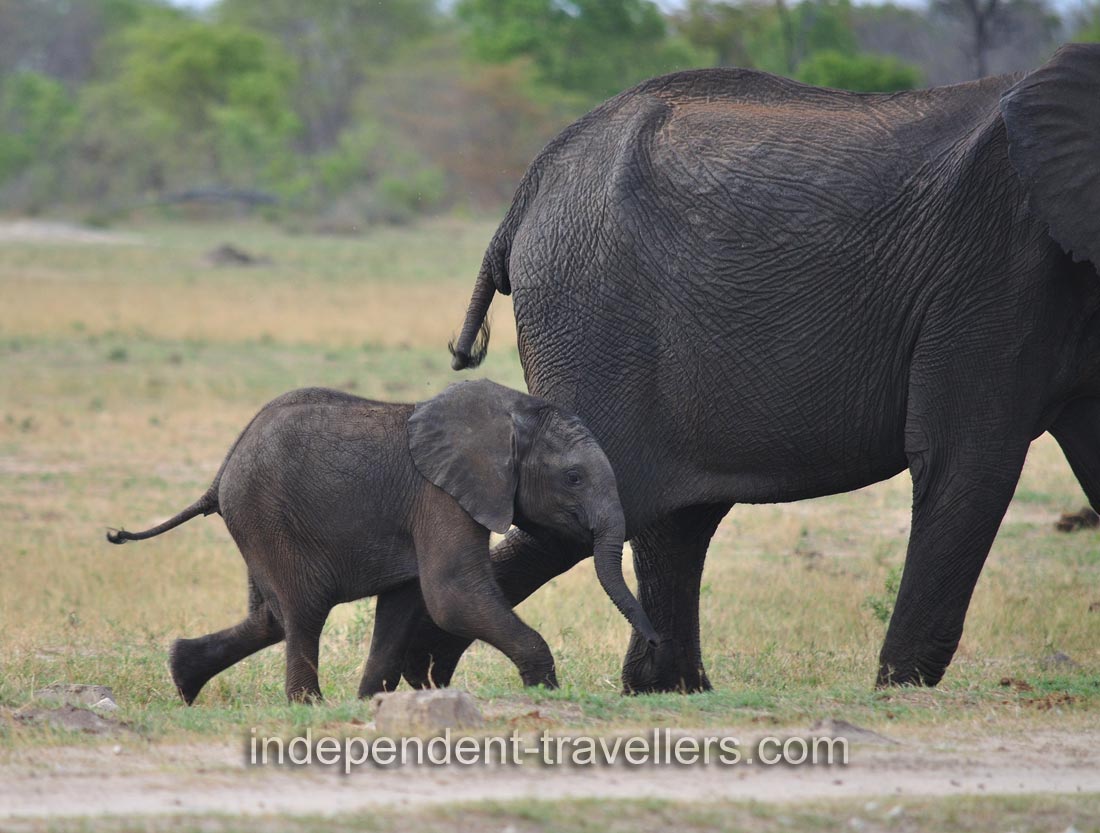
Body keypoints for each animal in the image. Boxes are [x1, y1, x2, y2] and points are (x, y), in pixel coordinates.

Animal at [106, 380, 658, 703]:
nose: (654, 640)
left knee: (269, 617)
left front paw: (372, 702)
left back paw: (183, 677)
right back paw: (307, 705)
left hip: (257, 522)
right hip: (268, 517)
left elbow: (404, 604)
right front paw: (545, 689)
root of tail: (220, 475)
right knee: (302, 612)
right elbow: (452, 595)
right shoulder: (439, 496)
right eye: (573, 478)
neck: (507, 414)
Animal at [398, 43, 1100, 693]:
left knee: (668, 520)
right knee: (585, 510)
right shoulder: (997, 266)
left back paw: (666, 689)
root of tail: (527, 191)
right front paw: (899, 689)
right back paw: (421, 670)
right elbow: (967, 457)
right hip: (589, 303)